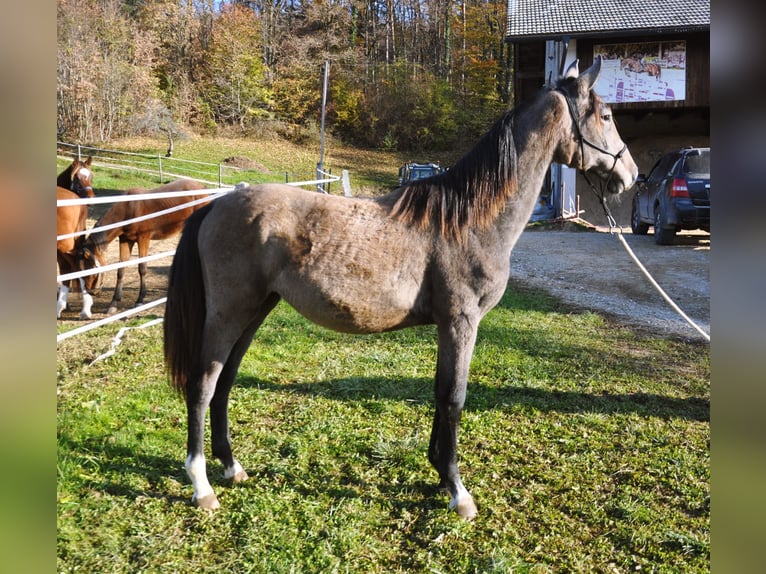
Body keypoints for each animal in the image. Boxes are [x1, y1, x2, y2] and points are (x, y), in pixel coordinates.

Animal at [83, 179, 210, 316]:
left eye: (92, 266)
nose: (92, 291)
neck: (129, 209)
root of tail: (202, 188)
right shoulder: (125, 240)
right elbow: (121, 270)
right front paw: (114, 303)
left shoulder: (143, 239)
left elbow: (142, 268)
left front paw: (139, 300)